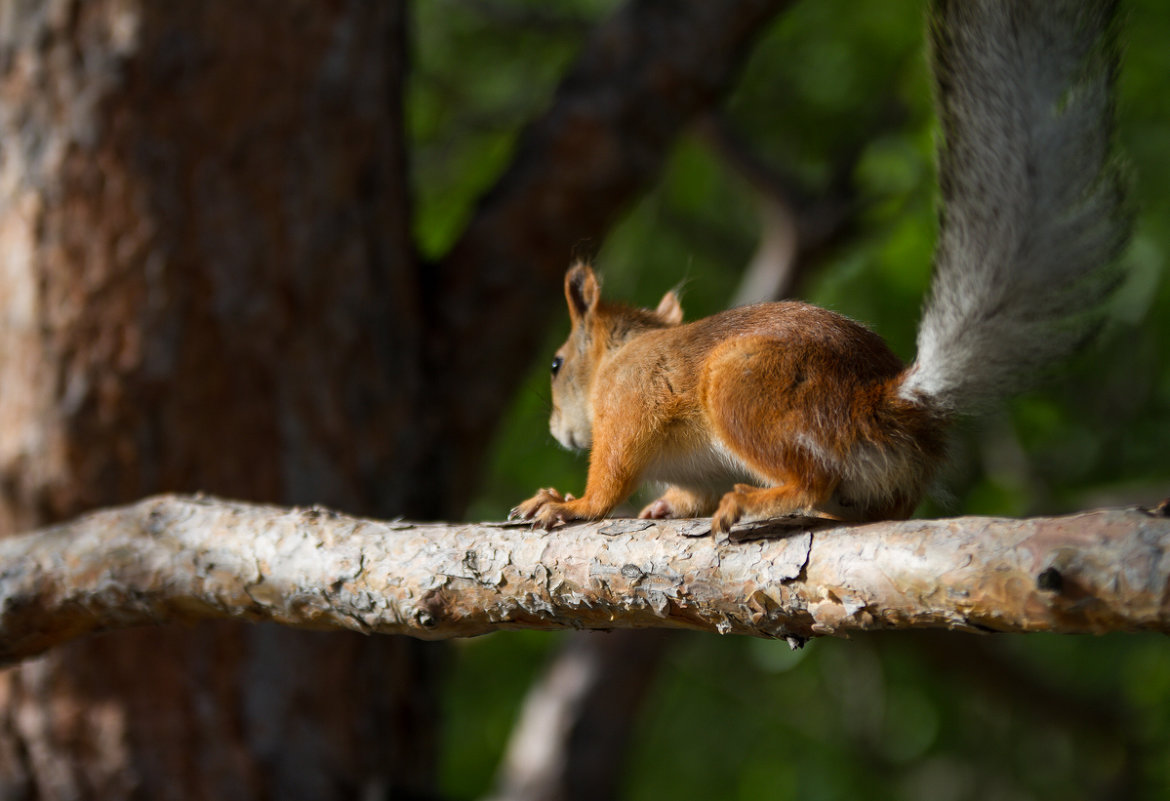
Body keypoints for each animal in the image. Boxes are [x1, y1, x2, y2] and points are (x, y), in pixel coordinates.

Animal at [510, 1, 1123, 537]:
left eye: (556, 365)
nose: (556, 432)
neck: (620, 354)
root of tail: (883, 404)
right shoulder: (694, 469)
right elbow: (689, 493)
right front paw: (660, 504)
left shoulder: (629, 406)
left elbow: (612, 476)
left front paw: (570, 503)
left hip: (744, 387)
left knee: (812, 477)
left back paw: (754, 500)